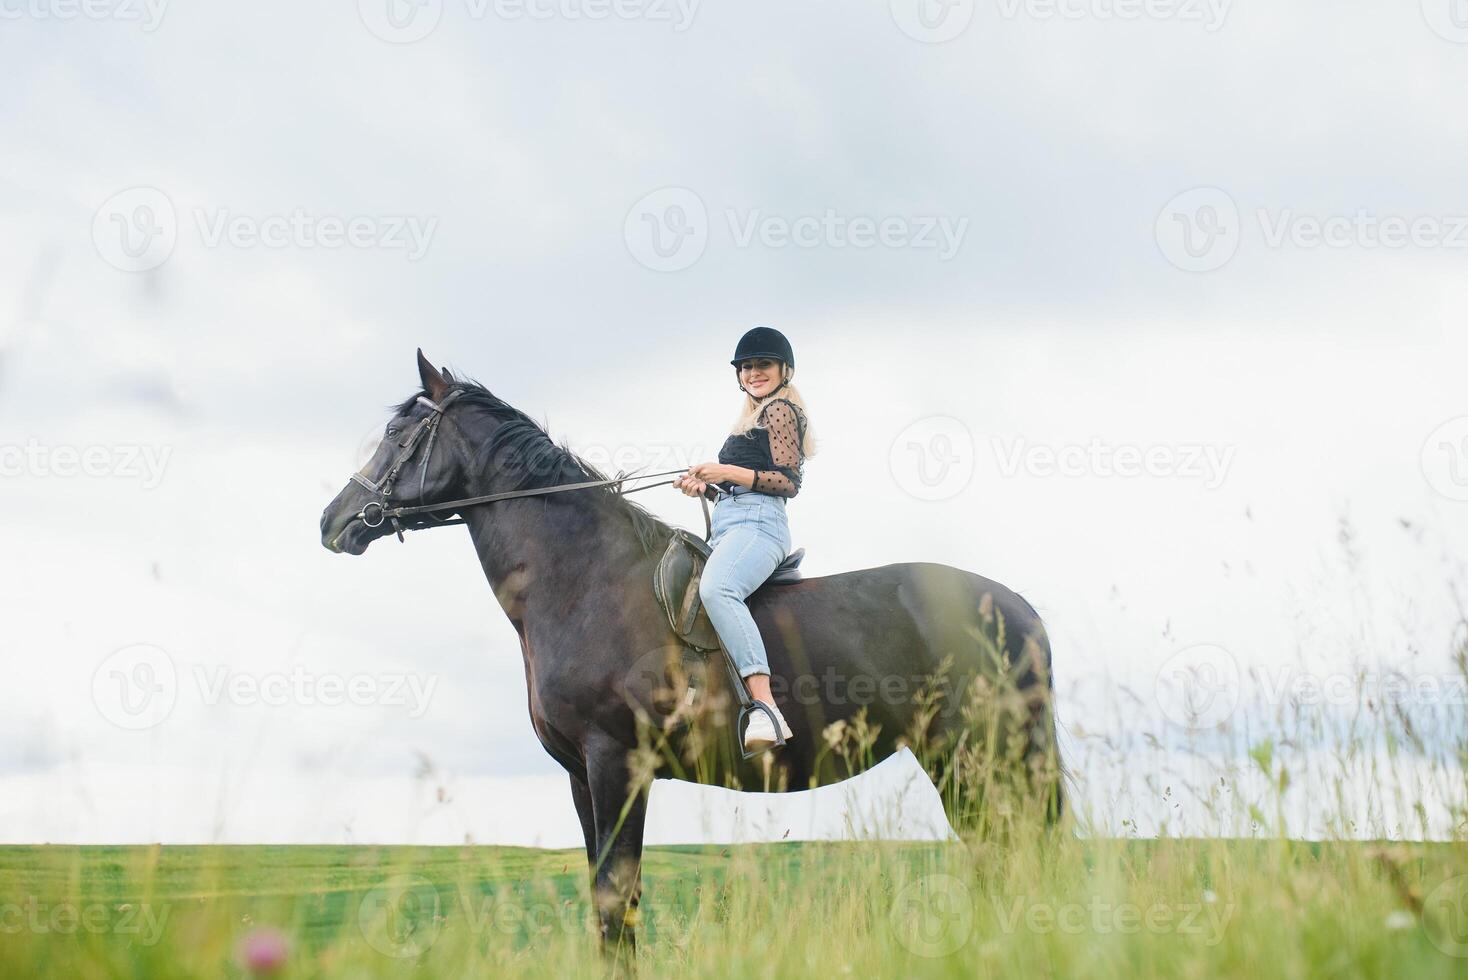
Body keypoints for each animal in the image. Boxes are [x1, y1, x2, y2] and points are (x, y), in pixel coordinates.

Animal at [321, 352, 1062, 962]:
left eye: (397, 436)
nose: (334, 521)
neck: (584, 578)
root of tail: (1019, 607)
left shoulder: (617, 762)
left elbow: (616, 902)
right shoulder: (580, 775)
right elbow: (606, 903)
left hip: (988, 757)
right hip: (959, 762)